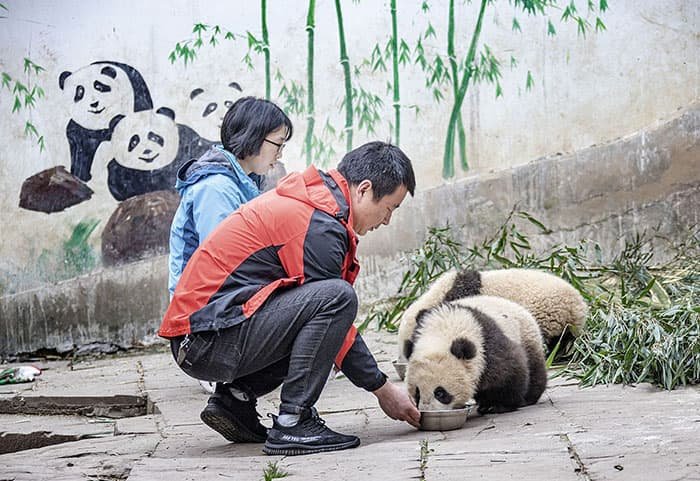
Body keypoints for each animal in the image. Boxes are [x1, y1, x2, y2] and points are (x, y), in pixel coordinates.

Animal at [404, 295, 547, 414]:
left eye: (440, 393)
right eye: (417, 392)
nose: (428, 411)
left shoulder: (487, 345)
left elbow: (511, 369)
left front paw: (498, 405)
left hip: (526, 335)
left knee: (534, 367)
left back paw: (528, 398)